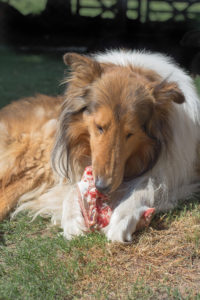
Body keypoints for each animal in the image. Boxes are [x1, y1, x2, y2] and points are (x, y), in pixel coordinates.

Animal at [0, 49, 200, 241]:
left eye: (130, 134)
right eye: (99, 127)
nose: (102, 187)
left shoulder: (169, 172)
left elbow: (144, 190)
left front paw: (122, 219)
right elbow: (72, 191)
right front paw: (72, 221)